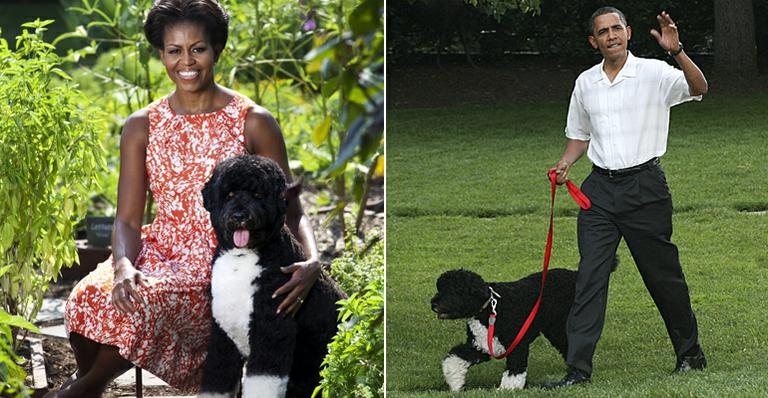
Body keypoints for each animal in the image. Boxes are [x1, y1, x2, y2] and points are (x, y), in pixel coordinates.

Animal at [200, 155, 344, 398]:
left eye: (259, 195)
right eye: (229, 194)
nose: (239, 216)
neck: (241, 259)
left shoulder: (272, 334)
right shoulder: (222, 337)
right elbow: (215, 378)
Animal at [432, 268, 576, 390]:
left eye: (453, 289)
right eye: (440, 288)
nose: (433, 303)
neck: (490, 309)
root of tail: (574, 273)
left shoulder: (517, 345)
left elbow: (514, 370)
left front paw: (507, 389)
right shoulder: (480, 346)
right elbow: (454, 358)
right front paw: (455, 383)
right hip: (554, 330)